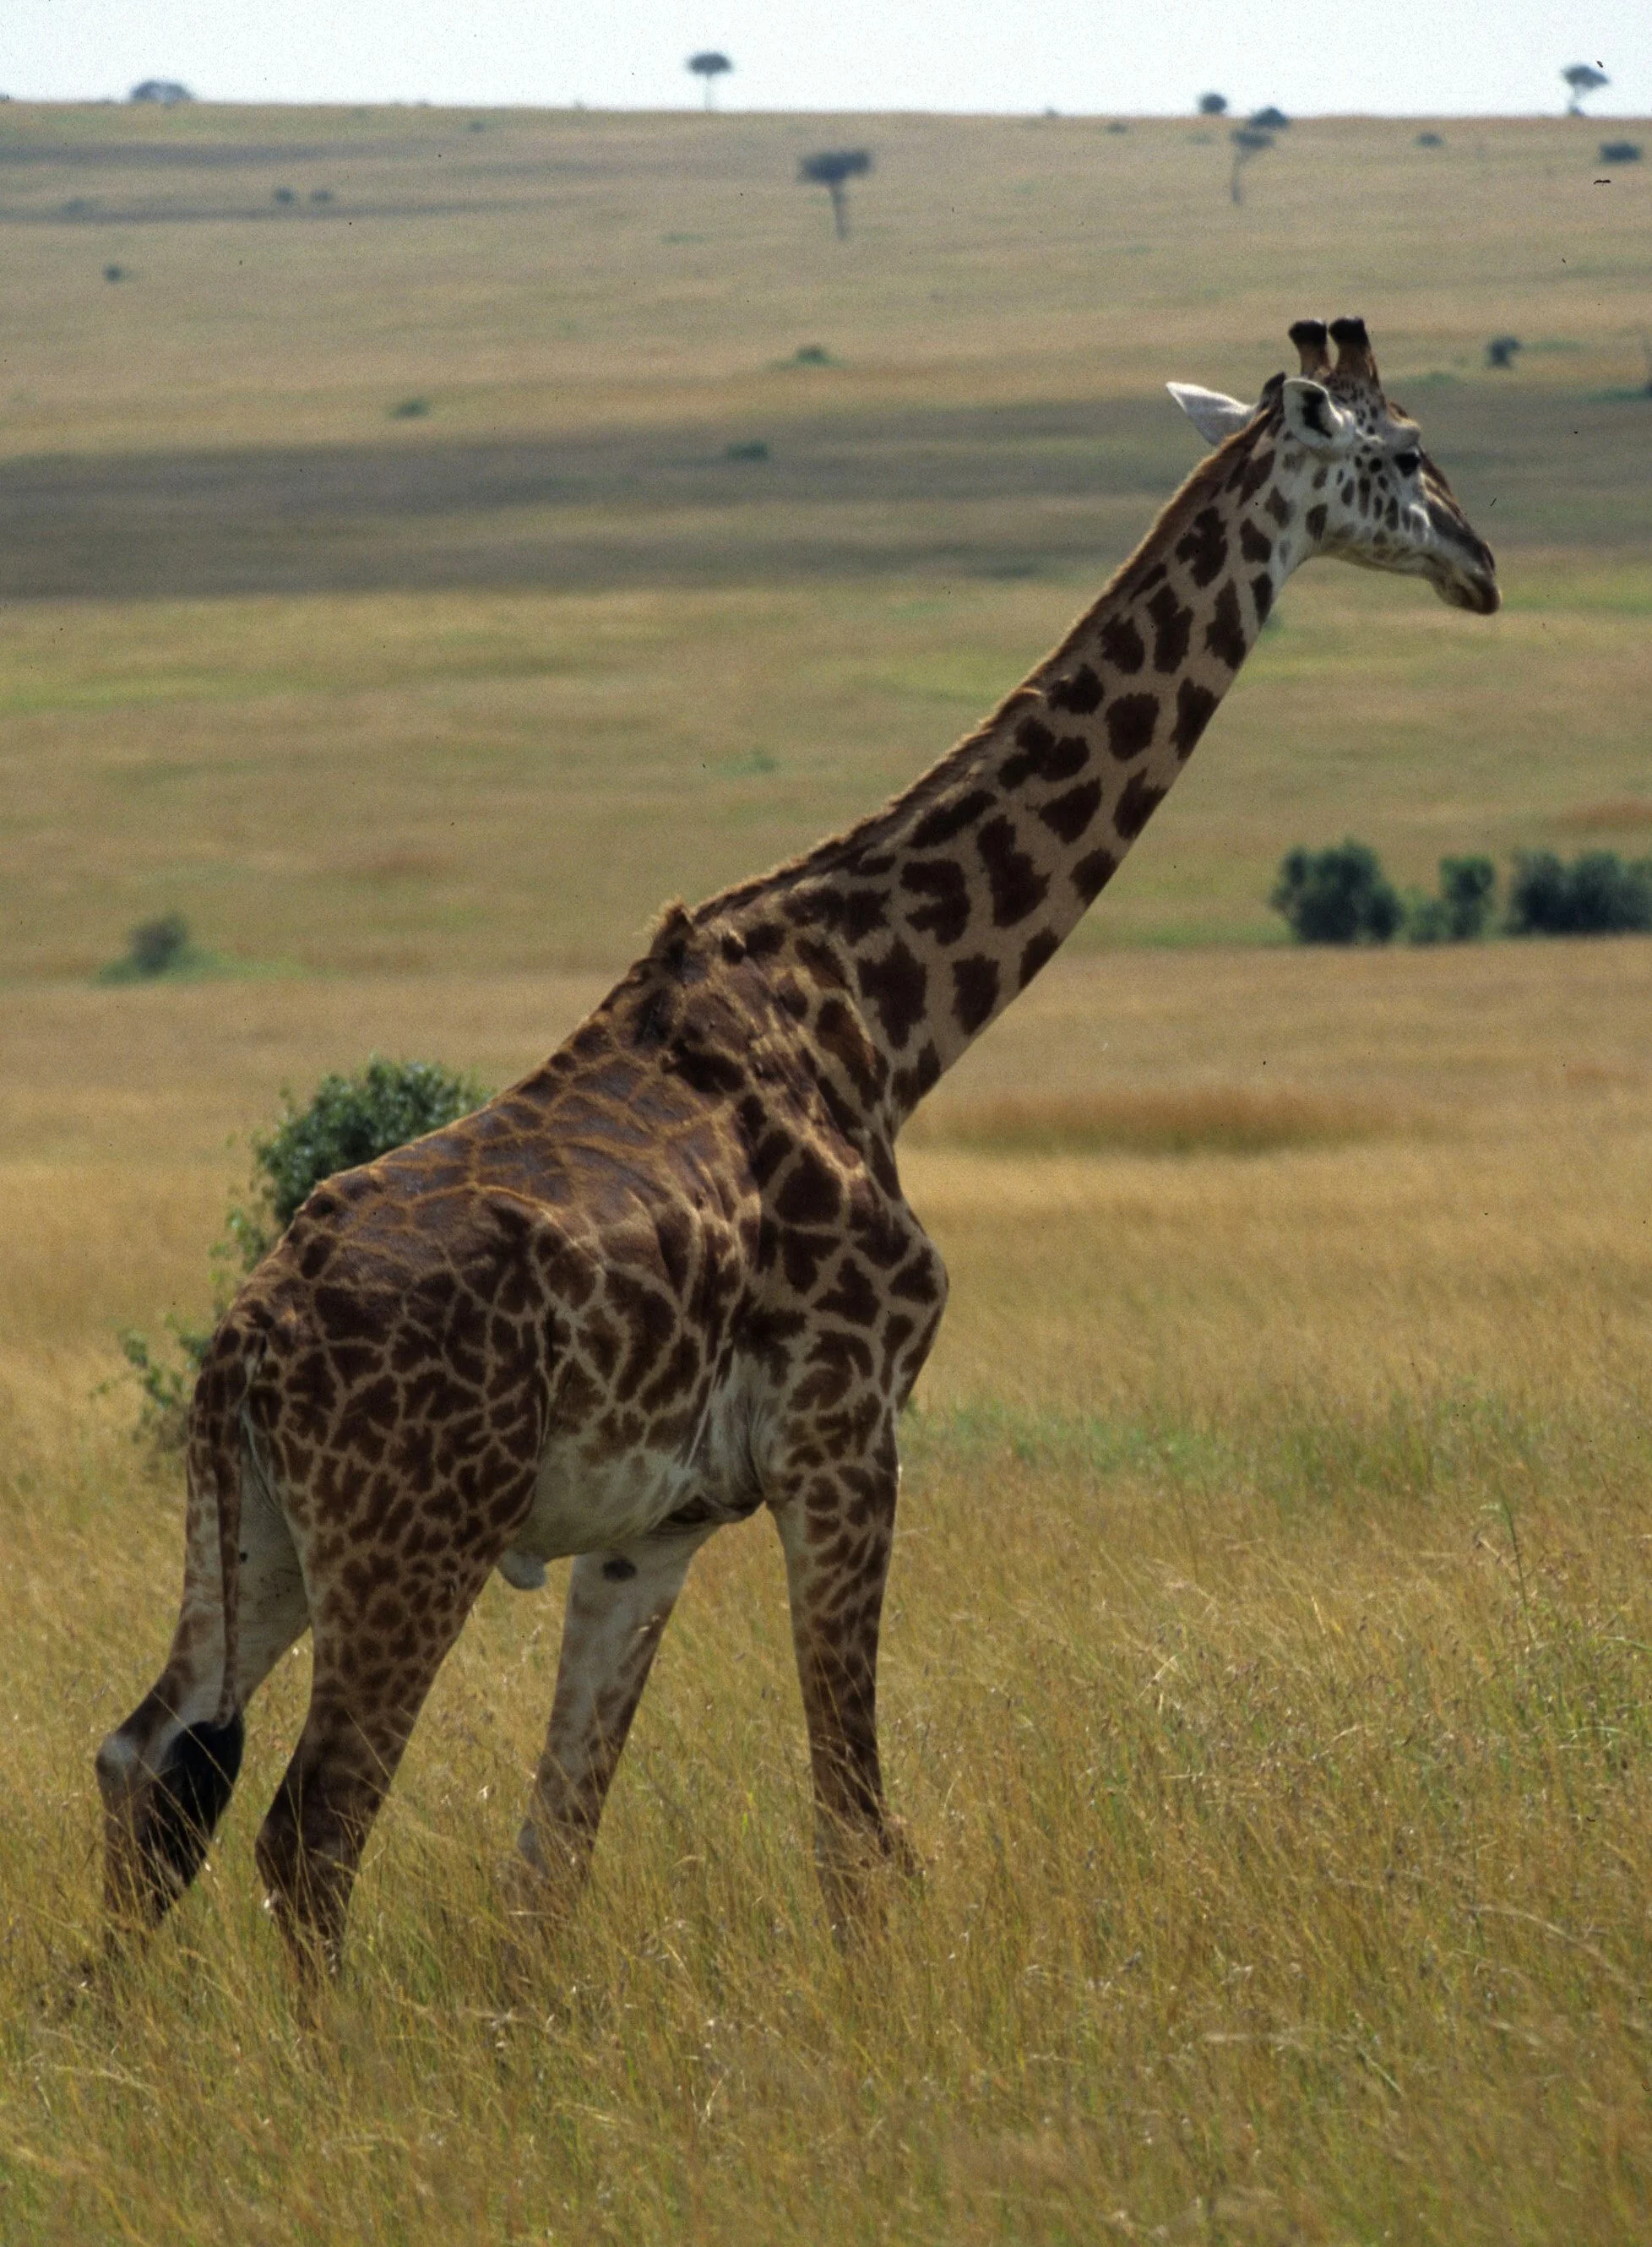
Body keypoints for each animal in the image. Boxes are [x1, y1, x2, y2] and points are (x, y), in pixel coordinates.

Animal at [96, 317, 1499, 1970]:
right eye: (1403, 452)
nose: (1481, 561)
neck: (884, 1016)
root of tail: (245, 1342)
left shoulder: (655, 1526)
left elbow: (552, 1861)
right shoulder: (847, 1432)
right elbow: (855, 1829)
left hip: (253, 1531)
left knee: (146, 1759)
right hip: (407, 1541)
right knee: (308, 1830)